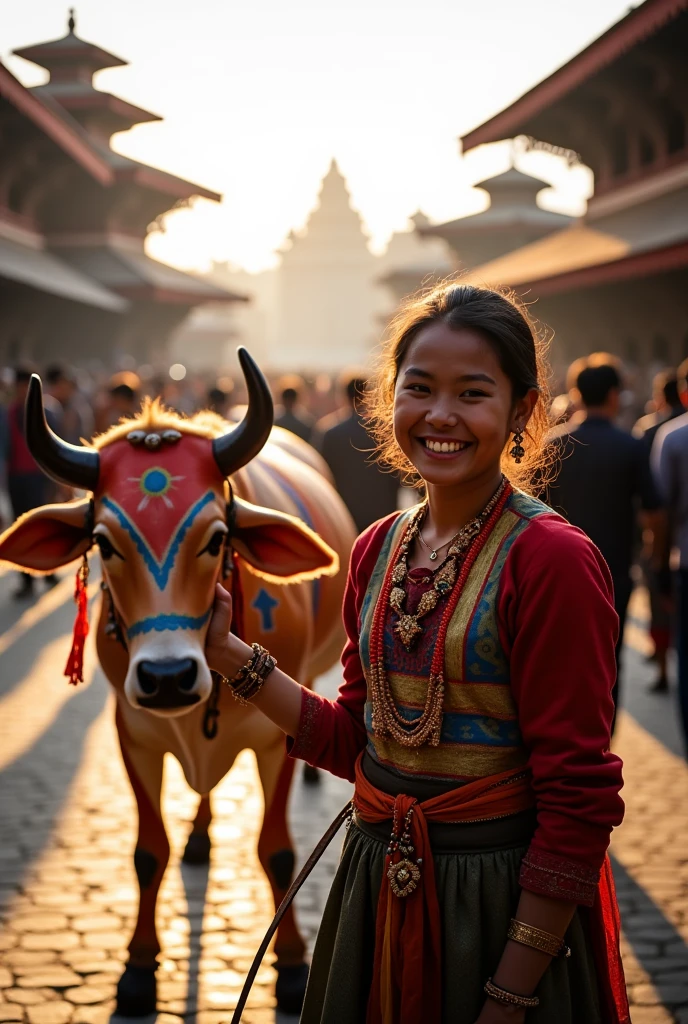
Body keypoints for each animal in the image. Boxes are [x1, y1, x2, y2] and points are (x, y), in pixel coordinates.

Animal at [0, 352, 354, 1015]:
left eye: (217, 538)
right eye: (103, 541)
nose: (167, 678)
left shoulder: (276, 742)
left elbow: (278, 851)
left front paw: (292, 967)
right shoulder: (132, 731)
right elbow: (148, 852)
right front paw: (138, 970)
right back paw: (200, 837)